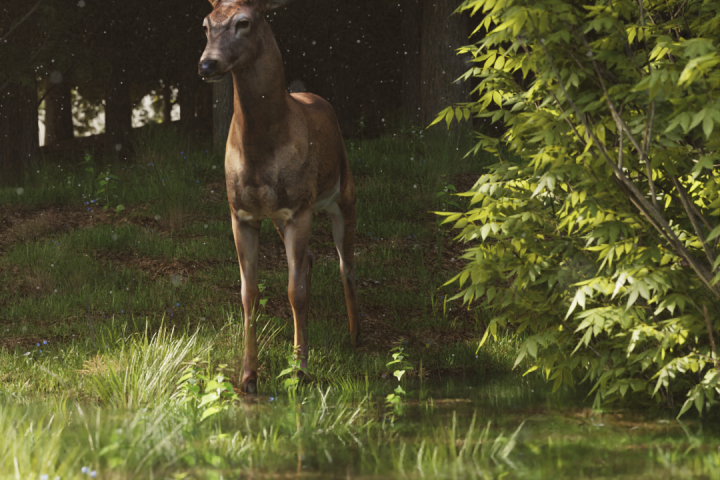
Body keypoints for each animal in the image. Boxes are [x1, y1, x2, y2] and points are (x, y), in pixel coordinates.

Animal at [198, 0, 361, 394]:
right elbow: (249, 293)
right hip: (278, 217)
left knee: (346, 263)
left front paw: (300, 371)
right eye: (206, 25)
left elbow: (294, 291)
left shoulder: (299, 208)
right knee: (314, 260)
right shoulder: (241, 213)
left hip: (343, 191)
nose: (206, 64)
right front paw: (248, 377)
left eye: (243, 22)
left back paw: (355, 337)